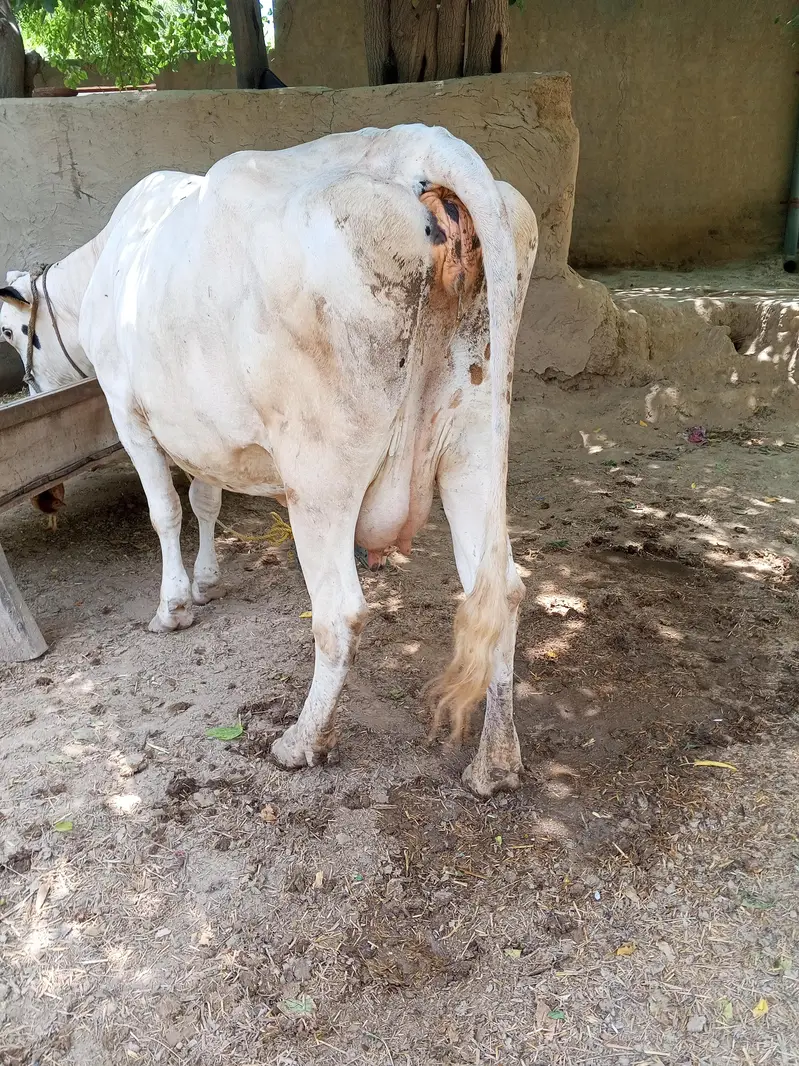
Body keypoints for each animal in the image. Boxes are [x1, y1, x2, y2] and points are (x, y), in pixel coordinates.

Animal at [0, 124, 538, 796]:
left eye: (11, 333)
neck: (110, 262)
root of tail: (413, 142)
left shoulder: (129, 412)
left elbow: (164, 511)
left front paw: (173, 606)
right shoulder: (200, 428)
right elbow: (204, 497)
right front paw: (205, 581)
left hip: (321, 474)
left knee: (340, 613)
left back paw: (302, 741)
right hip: (472, 448)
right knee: (501, 592)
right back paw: (496, 760)